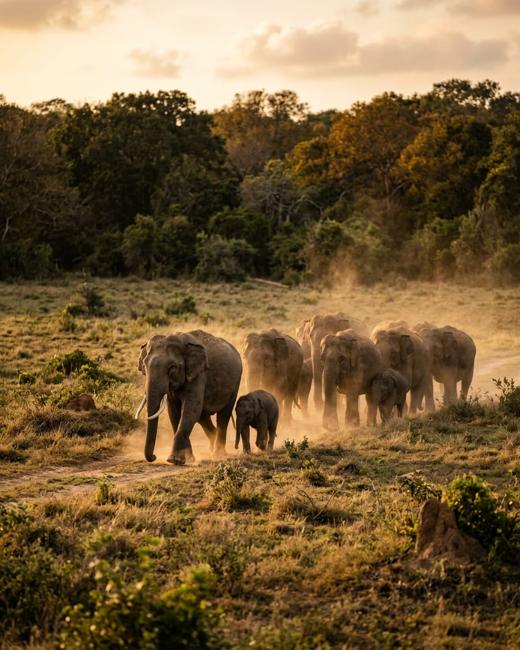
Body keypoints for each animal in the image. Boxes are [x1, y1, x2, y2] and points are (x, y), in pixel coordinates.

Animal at [135, 330, 242, 465]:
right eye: (144, 366)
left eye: (172, 367)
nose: (154, 456)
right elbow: (174, 413)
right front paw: (188, 459)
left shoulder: (199, 374)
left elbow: (189, 410)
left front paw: (174, 460)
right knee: (203, 417)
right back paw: (212, 446)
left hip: (235, 383)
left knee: (223, 415)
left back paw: (219, 455)